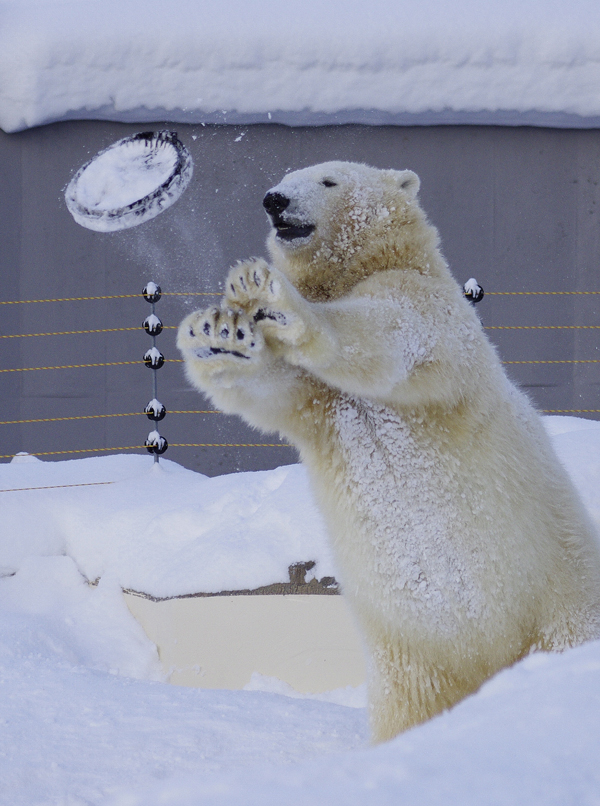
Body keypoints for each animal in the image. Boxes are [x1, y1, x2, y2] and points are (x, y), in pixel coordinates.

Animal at [178, 159, 600, 744]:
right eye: (287, 175)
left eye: (328, 180)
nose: (274, 200)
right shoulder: (318, 405)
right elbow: (274, 385)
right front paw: (219, 333)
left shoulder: (428, 309)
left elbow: (386, 331)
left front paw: (271, 298)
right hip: (413, 658)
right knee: (411, 707)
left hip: (558, 596)